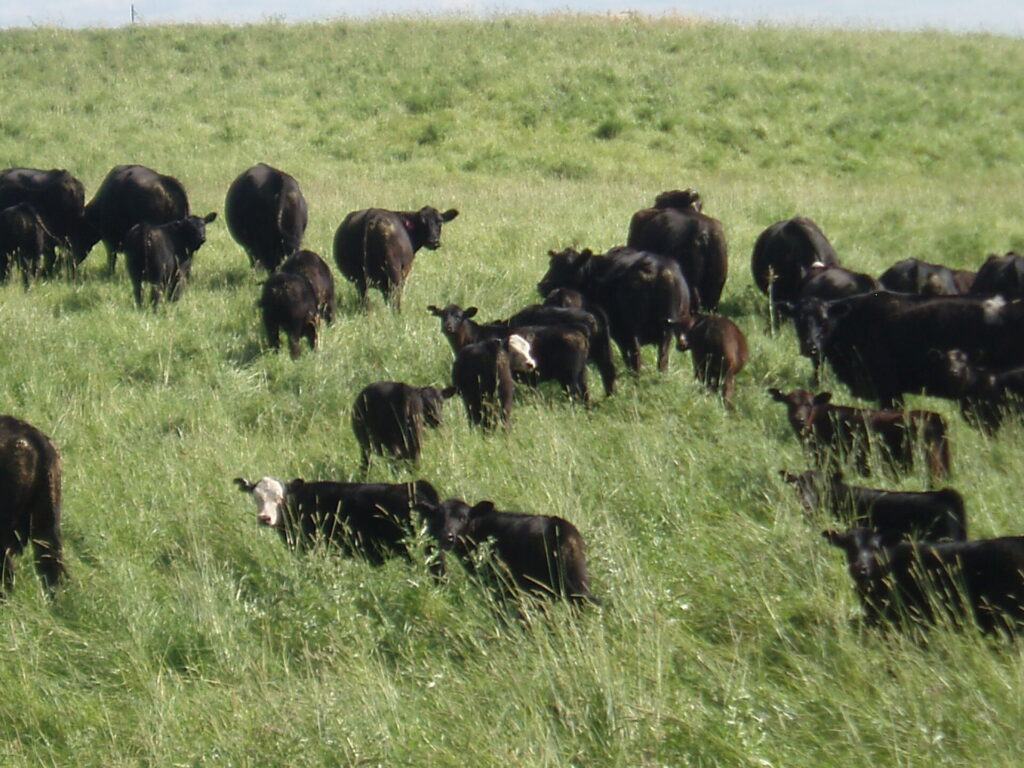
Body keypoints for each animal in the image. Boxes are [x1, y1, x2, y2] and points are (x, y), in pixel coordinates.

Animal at [537, 246, 690, 372]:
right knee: (662, 360)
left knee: (636, 357)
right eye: (552, 264)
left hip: (631, 328)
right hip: (666, 332)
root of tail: (656, 269)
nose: (541, 285)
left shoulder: (618, 332)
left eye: (566, 268)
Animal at [768, 388, 951, 481]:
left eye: (810, 404)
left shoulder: (828, 459)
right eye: (789, 403)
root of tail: (936, 417)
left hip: (931, 464)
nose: (798, 419)